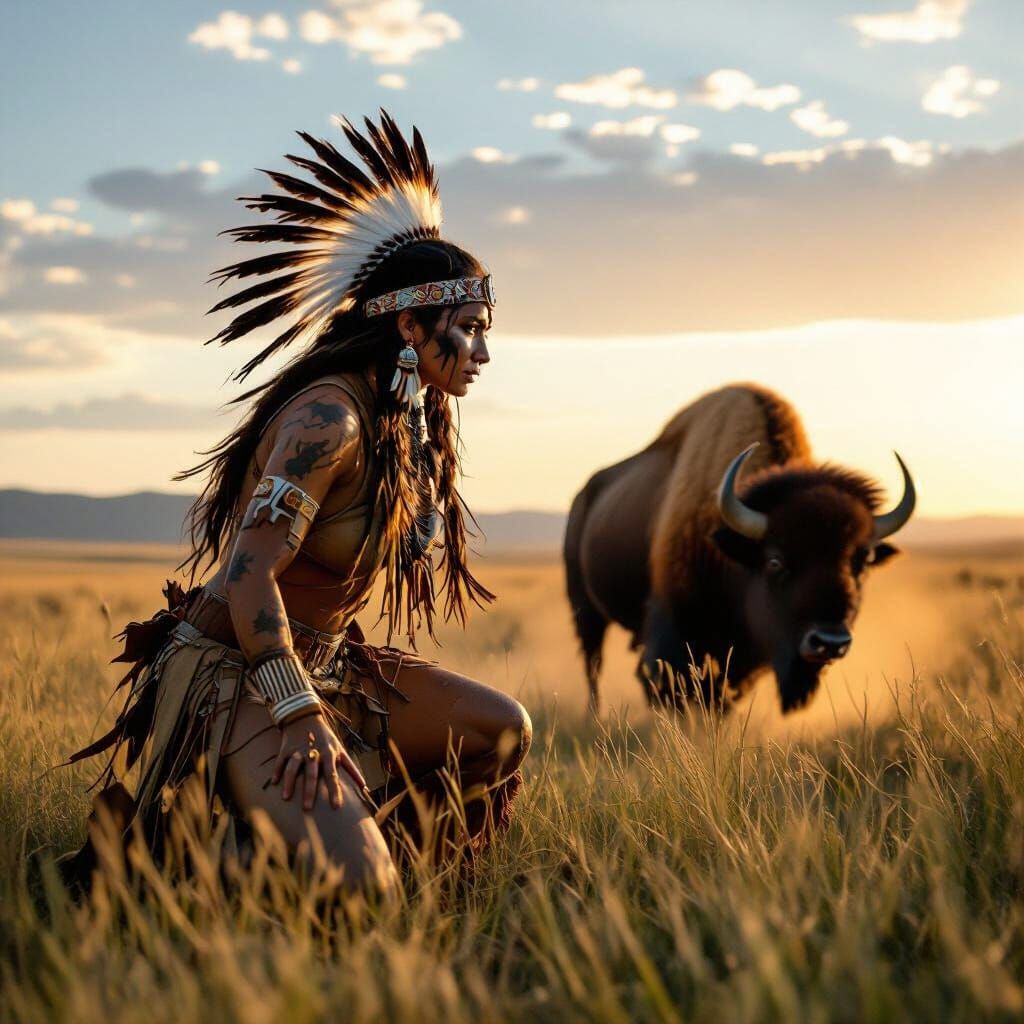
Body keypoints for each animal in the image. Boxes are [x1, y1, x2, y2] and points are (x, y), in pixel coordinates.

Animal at [564, 383, 915, 713]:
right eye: (775, 561)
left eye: (864, 560)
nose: (830, 642)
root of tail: (583, 496)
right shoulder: (672, 638)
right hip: (586, 611)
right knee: (593, 665)